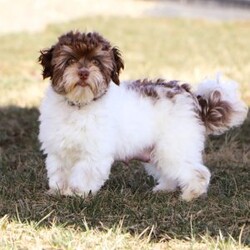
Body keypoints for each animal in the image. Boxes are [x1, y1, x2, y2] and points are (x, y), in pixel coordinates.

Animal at [38, 30, 247, 201]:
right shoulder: (58, 151)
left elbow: (83, 175)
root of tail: (193, 99)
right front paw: (58, 191)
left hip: (174, 147)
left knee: (198, 172)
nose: (83, 73)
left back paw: (190, 195)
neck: (79, 106)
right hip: (159, 151)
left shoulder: (93, 154)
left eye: (96, 62)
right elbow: (59, 172)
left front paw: (78, 193)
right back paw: (164, 189)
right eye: (70, 61)